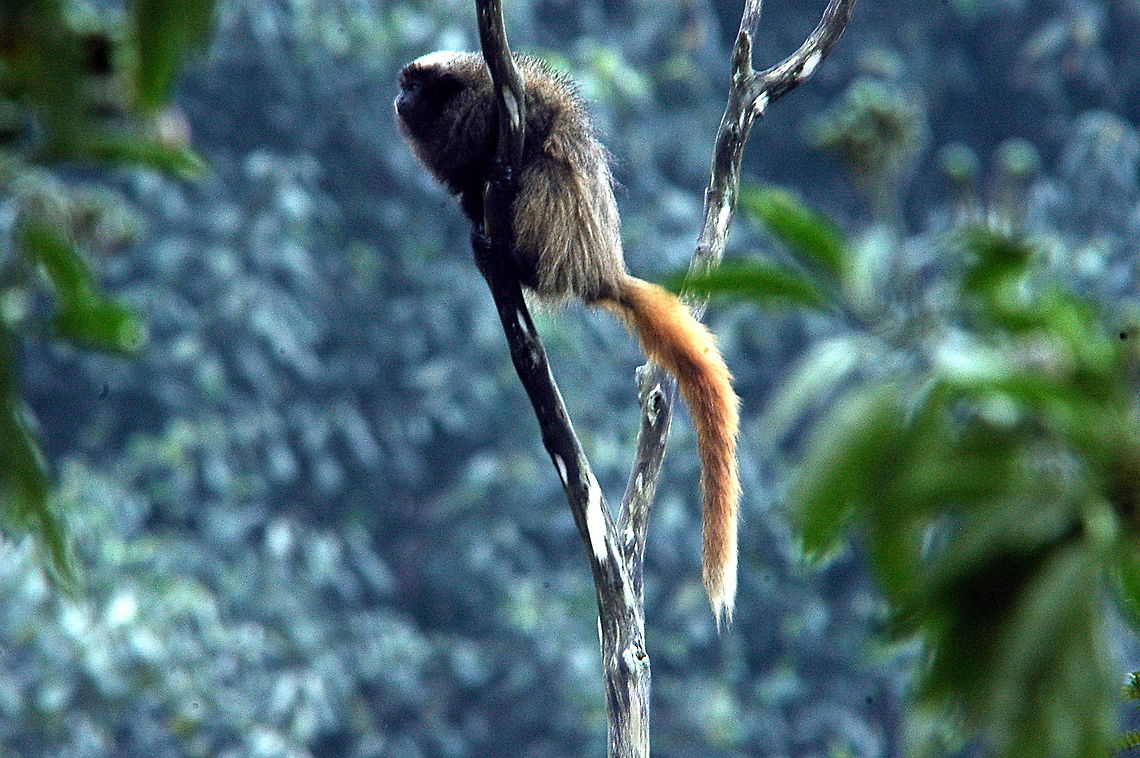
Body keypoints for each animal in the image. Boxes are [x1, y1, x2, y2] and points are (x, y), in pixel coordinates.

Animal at [395, 51, 741, 625]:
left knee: (546, 172)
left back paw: (512, 253)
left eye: (416, 87)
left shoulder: (513, 93)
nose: (398, 97)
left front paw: (504, 166)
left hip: (562, 230)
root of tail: (601, 270)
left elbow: (546, 127)